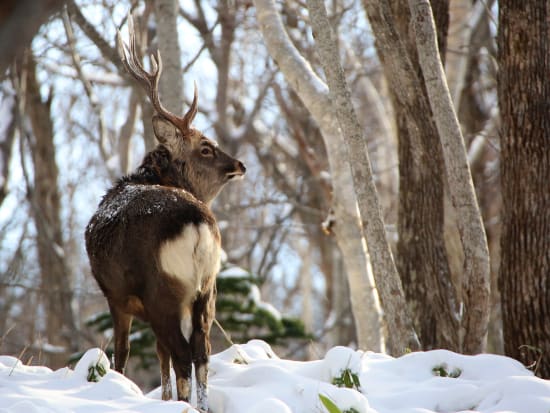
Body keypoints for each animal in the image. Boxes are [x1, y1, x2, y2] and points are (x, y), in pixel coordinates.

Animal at [85, 16, 247, 408]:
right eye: (206, 148)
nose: (239, 165)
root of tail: (199, 223)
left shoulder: (116, 295)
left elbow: (122, 354)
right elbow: (159, 355)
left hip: (163, 289)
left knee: (183, 353)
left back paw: (186, 404)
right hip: (206, 288)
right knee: (201, 351)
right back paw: (200, 405)